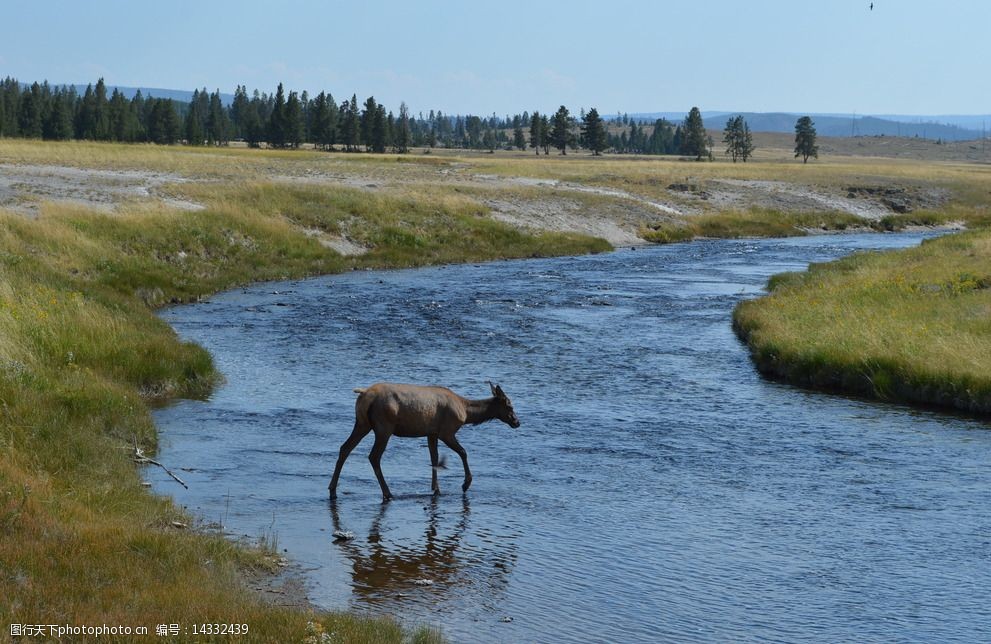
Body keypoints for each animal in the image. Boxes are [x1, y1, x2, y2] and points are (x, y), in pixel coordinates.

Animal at [330, 380, 524, 500]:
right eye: (509, 405)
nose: (517, 422)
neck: (466, 413)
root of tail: (363, 394)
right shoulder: (447, 431)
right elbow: (463, 452)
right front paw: (465, 484)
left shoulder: (432, 433)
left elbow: (434, 458)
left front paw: (436, 489)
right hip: (384, 427)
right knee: (374, 456)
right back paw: (388, 493)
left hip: (362, 423)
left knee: (344, 448)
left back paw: (332, 490)